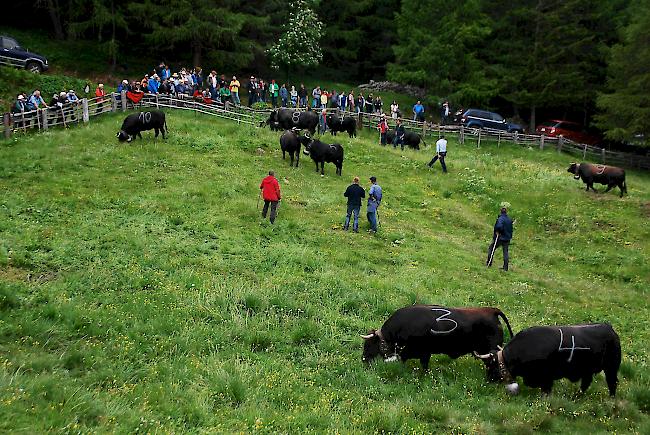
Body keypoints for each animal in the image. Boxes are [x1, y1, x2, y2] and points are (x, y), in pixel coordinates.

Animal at [474, 324, 620, 398]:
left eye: (490, 366)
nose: (487, 381)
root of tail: (609, 328)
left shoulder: (546, 377)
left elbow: (546, 390)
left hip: (611, 368)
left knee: (612, 384)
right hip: (588, 371)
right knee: (586, 383)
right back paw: (576, 396)